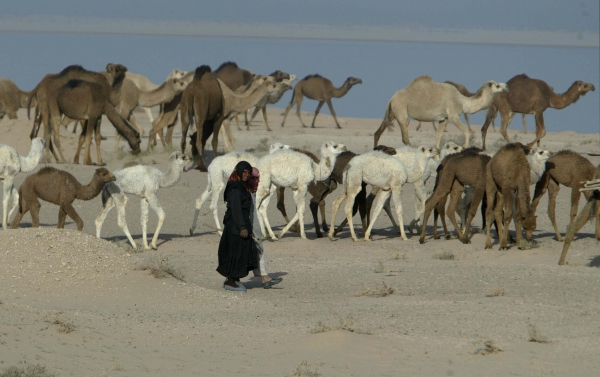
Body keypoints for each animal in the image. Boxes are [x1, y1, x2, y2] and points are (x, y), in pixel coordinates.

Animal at [372, 75, 508, 148]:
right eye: (497, 85)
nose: (506, 86)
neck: (462, 101)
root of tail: (391, 98)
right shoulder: (453, 115)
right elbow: (466, 131)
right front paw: (465, 146)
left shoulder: (444, 118)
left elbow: (438, 135)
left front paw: (436, 150)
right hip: (401, 108)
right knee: (405, 133)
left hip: (393, 112)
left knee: (378, 132)